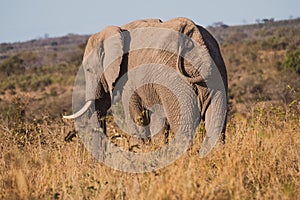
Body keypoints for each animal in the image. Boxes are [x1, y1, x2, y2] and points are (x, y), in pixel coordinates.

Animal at [63, 17, 227, 157]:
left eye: (88, 70)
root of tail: (195, 35)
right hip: (216, 76)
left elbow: (135, 116)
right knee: (216, 122)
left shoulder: (128, 78)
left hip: (175, 81)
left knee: (184, 127)